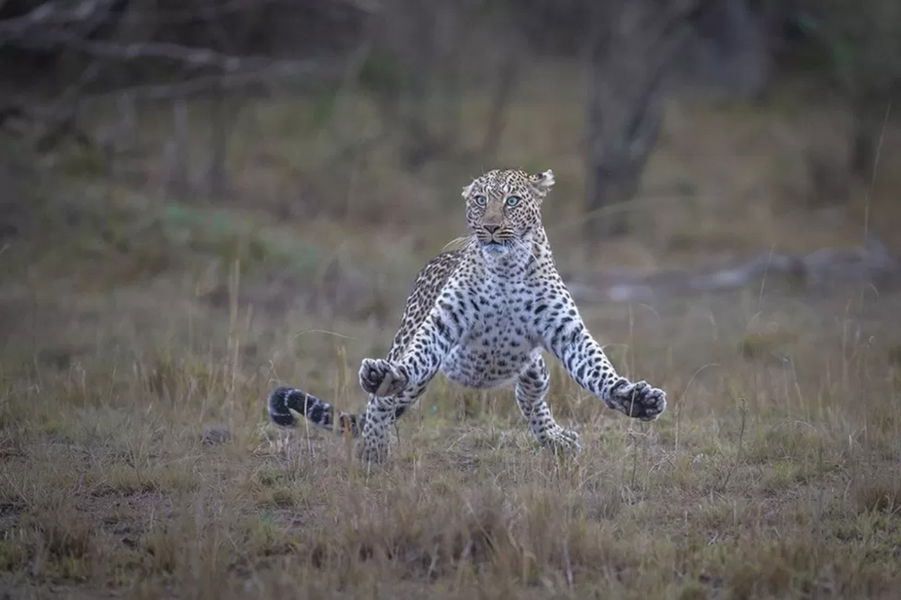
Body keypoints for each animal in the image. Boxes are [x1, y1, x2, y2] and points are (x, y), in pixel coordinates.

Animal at [264, 166, 664, 462]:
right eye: (479, 200)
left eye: (512, 201)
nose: (490, 227)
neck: (506, 269)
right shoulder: (441, 324)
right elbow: (412, 361)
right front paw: (386, 381)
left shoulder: (567, 332)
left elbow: (597, 367)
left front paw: (635, 398)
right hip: (412, 356)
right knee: (384, 401)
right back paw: (373, 447)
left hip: (533, 368)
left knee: (530, 399)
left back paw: (557, 440)